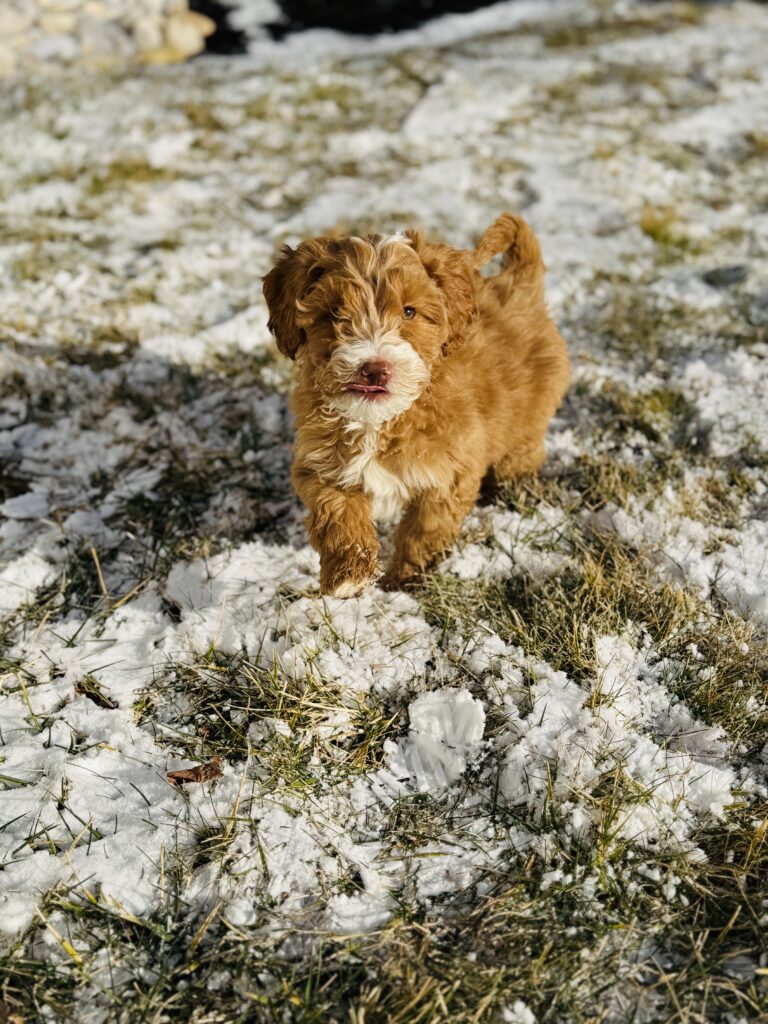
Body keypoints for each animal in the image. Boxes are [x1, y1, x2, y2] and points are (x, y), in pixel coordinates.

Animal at [263, 213, 570, 597]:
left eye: (409, 311)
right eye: (333, 312)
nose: (374, 368)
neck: (382, 421)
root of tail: (520, 283)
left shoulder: (448, 473)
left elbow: (424, 530)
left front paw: (404, 578)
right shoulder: (322, 462)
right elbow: (335, 508)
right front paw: (349, 574)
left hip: (528, 420)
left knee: (521, 454)